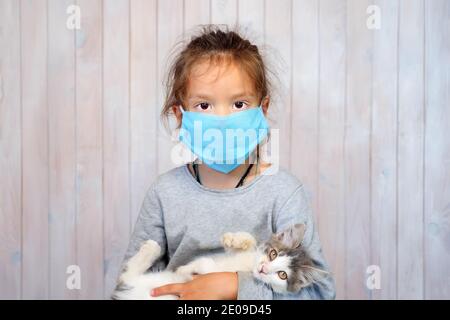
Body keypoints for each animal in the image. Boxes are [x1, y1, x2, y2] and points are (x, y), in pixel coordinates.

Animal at [111, 224, 330, 298]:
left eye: (282, 275)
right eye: (273, 254)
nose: (263, 268)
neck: (247, 266)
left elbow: (207, 267)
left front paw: (190, 269)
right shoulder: (245, 255)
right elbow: (249, 241)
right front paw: (234, 239)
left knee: (127, 275)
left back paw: (151, 249)